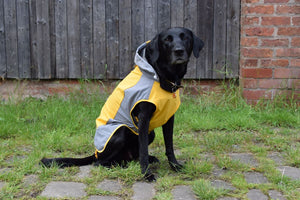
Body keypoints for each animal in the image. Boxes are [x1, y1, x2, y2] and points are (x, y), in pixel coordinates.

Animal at [41, 27, 204, 182]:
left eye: (185, 38)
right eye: (167, 40)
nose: (179, 51)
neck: (161, 76)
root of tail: (96, 153)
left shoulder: (169, 118)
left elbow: (169, 145)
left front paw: (175, 166)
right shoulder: (143, 119)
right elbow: (143, 150)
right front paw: (146, 174)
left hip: (150, 133)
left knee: (132, 156)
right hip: (120, 131)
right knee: (100, 163)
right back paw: (120, 165)